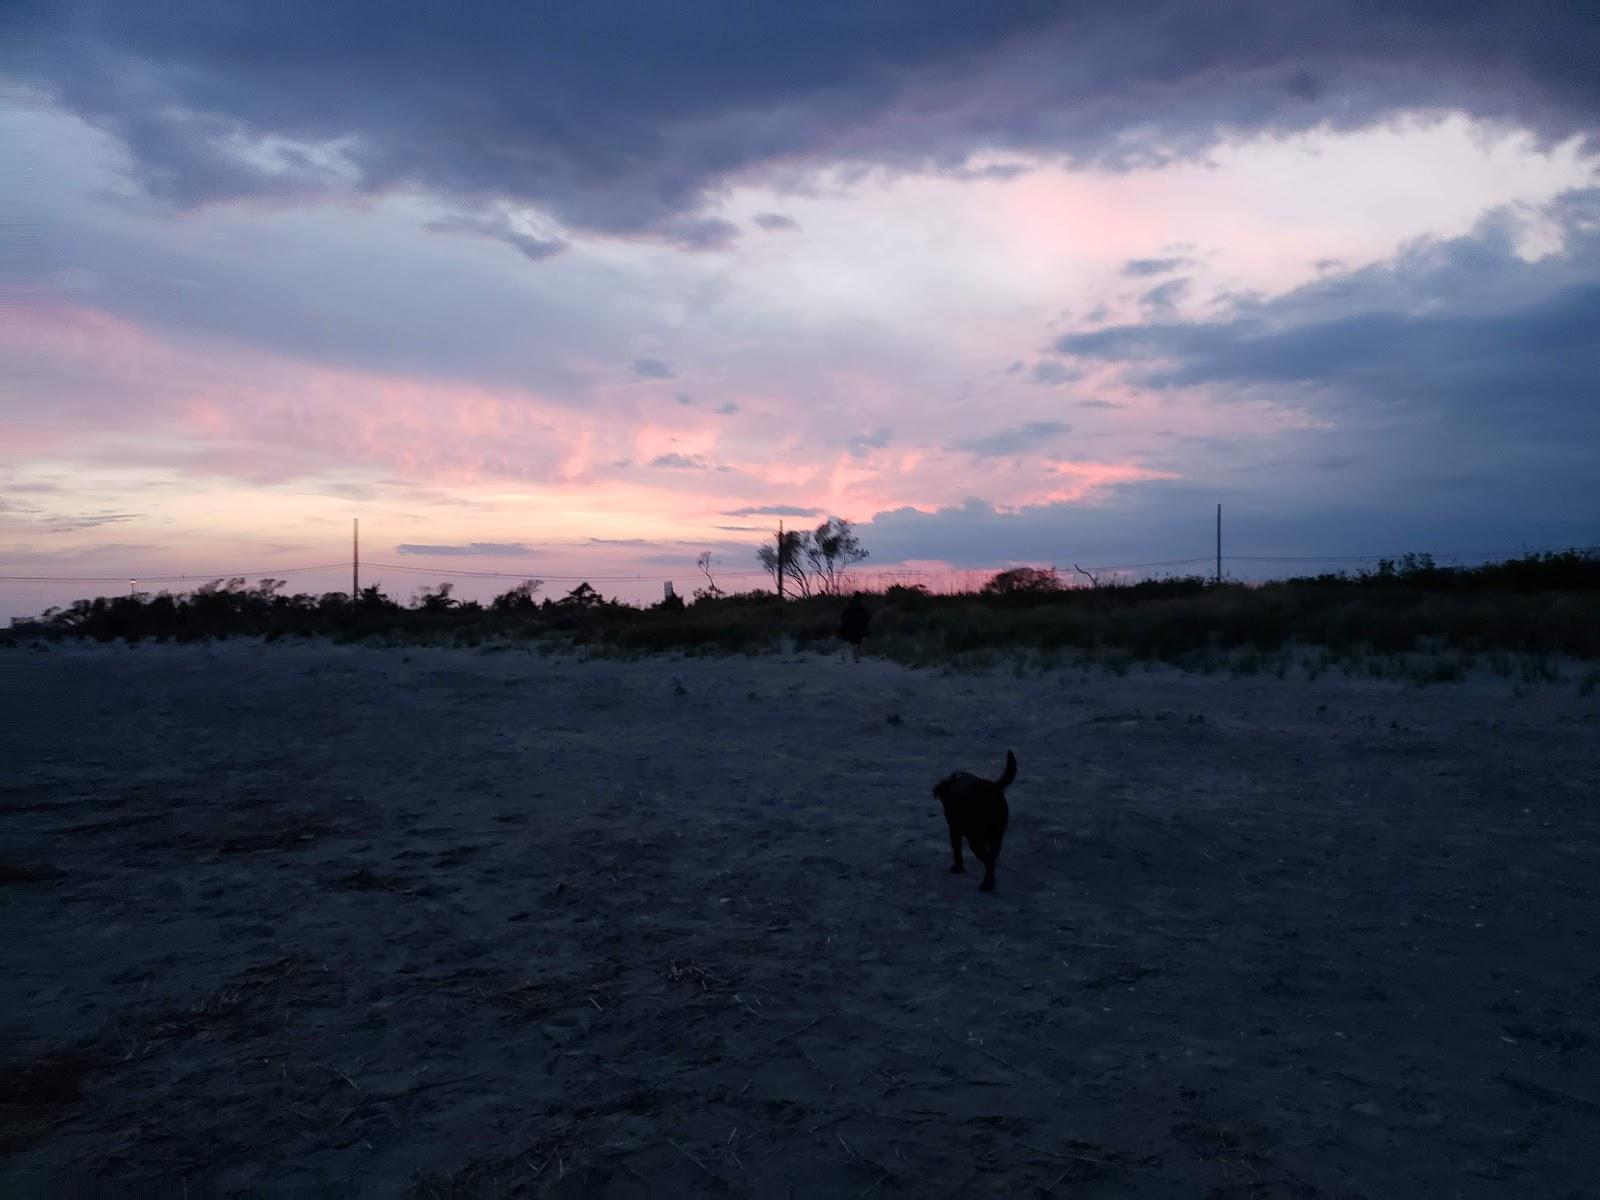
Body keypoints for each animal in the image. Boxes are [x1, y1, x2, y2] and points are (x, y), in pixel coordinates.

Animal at [934, 752, 1017, 896]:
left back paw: (986, 884)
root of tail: (993, 789)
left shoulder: (954, 830)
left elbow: (956, 849)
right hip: (995, 835)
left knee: (988, 859)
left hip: (976, 839)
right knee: (993, 855)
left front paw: (958, 868)